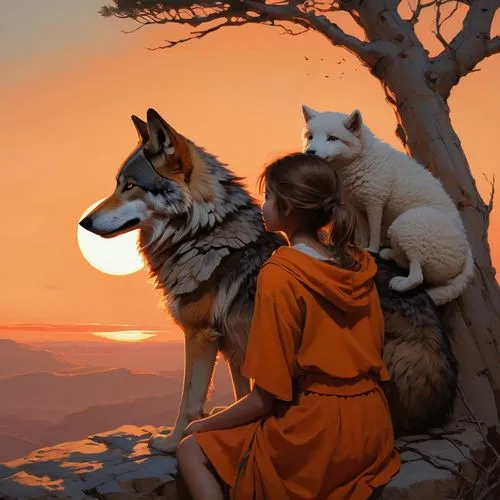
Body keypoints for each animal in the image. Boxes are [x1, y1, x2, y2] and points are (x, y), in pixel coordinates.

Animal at [302, 105, 474, 304]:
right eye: (310, 137)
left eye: (332, 138)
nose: (309, 152)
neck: (360, 159)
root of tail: (467, 251)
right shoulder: (358, 207)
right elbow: (364, 233)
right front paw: (361, 249)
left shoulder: (375, 201)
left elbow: (374, 232)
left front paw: (372, 249)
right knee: (408, 264)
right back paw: (389, 254)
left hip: (408, 223)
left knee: (418, 276)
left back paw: (400, 282)